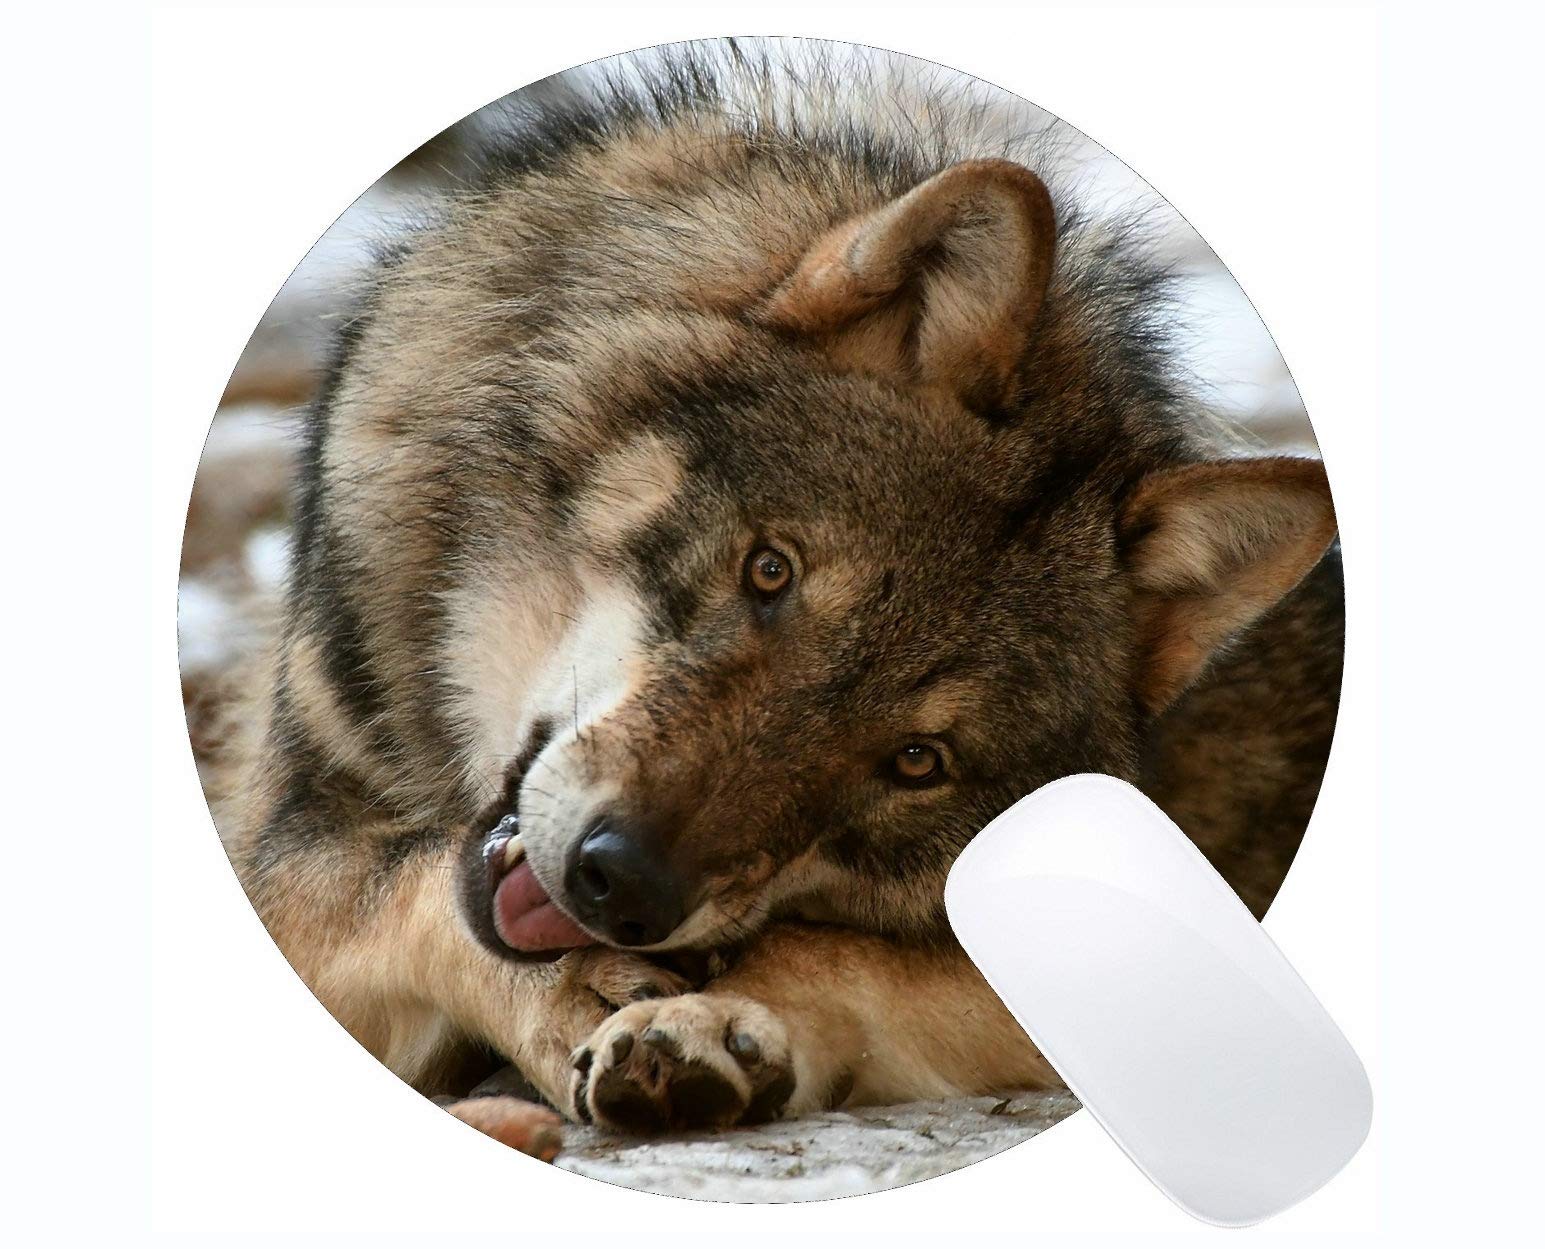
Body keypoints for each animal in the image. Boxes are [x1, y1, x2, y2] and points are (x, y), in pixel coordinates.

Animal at [203, 42, 1342, 1140]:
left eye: (916, 761)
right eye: (770, 570)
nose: (623, 885)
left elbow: (842, 953)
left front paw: (708, 1021)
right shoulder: (285, 846)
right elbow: (407, 888)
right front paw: (573, 988)